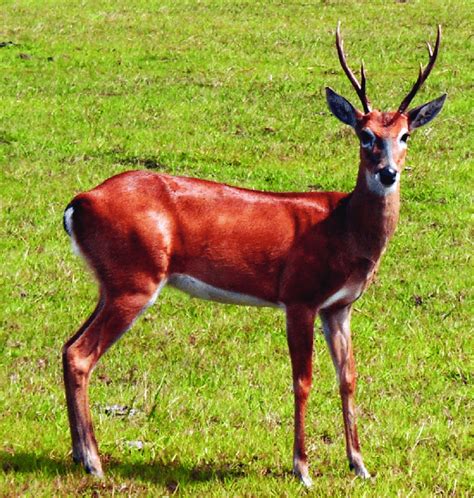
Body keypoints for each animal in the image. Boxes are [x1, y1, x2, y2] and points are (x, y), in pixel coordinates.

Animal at [62, 24, 444, 486]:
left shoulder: (340, 306)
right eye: (364, 134)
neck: (342, 229)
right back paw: (95, 462)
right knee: (81, 354)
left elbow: (348, 377)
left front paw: (361, 465)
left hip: (111, 282)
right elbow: (303, 380)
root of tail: (79, 202)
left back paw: (80, 455)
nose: (388, 172)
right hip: (135, 280)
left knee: (67, 345)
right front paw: (302, 469)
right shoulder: (299, 296)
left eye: (405, 135)